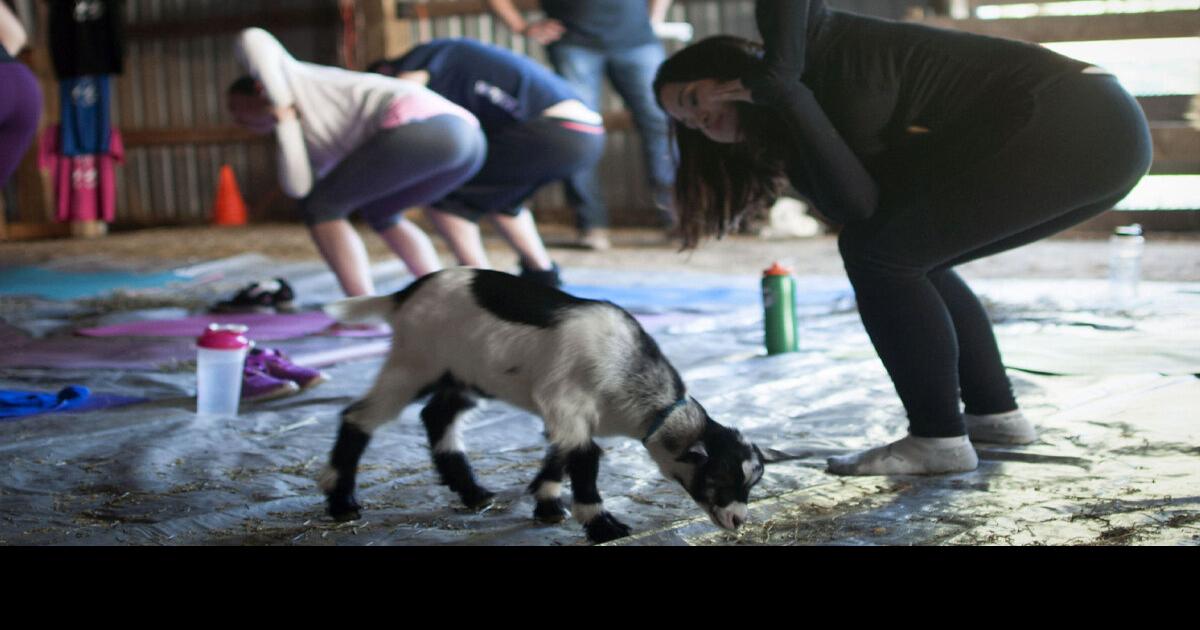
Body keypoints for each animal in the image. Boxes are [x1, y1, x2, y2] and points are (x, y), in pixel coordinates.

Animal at [319, 265, 763, 540]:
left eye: (750, 482)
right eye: (719, 477)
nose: (738, 520)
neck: (626, 371)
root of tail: (405, 294)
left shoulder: (567, 414)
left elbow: (559, 452)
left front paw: (548, 503)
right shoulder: (566, 402)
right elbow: (583, 457)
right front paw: (602, 525)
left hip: (462, 375)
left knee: (437, 416)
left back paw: (473, 493)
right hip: (414, 362)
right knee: (360, 416)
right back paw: (342, 502)